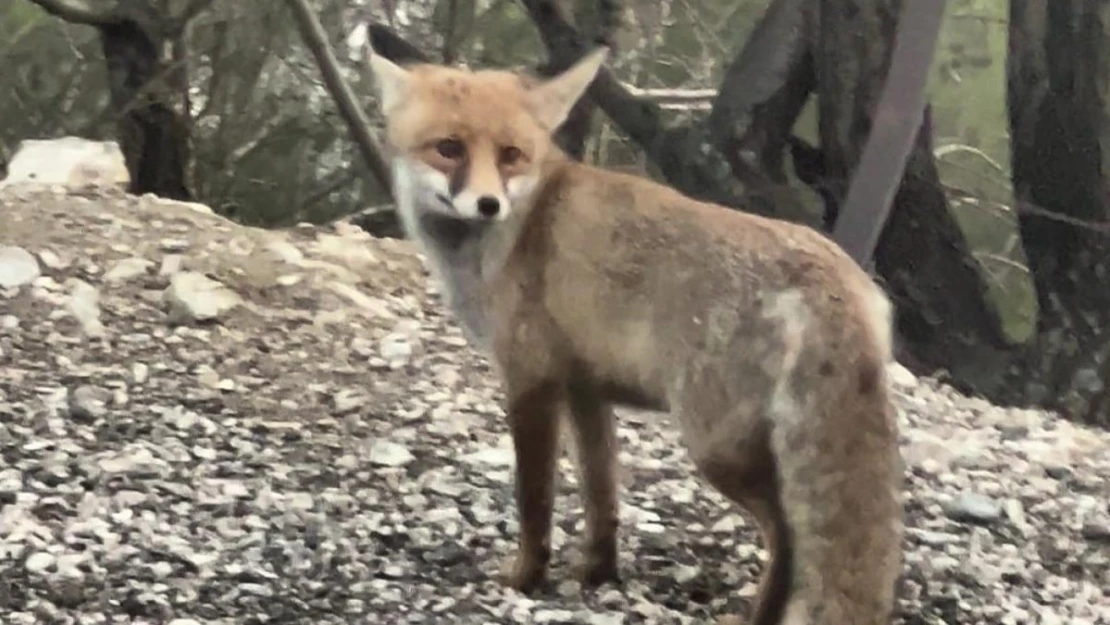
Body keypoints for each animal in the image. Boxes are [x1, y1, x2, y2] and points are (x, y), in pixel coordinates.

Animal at [364, 44, 901, 625]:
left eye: (511, 155)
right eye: (449, 149)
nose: (489, 204)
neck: (515, 233)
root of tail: (839, 276)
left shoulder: (530, 380)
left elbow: (535, 499)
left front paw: (526, 577)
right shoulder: (585, 390)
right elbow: (602, 493)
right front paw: (597, 570)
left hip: (714, 447)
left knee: (788, 536)